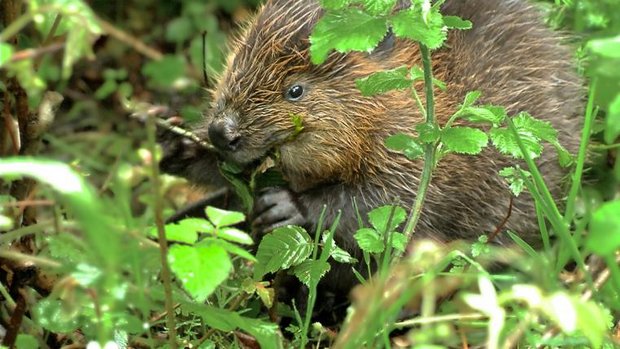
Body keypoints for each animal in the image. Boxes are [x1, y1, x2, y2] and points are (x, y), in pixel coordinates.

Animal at [159, 0, 580, 312]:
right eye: (236, 62)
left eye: (295, 90)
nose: (222, 131)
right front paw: (172, 140)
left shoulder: (417, 147)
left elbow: (391, 203)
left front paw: (284, 205)